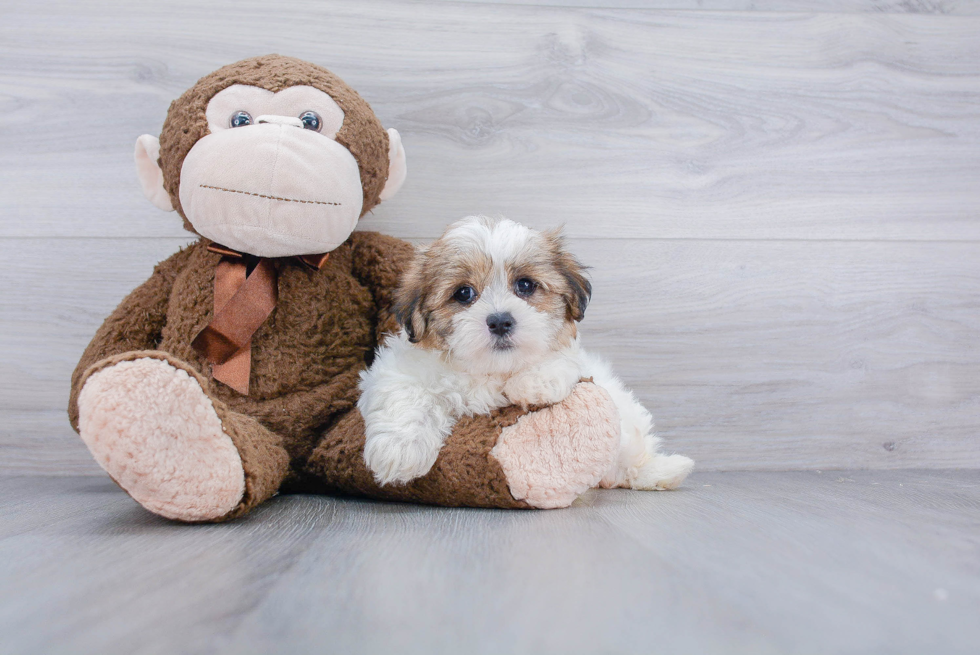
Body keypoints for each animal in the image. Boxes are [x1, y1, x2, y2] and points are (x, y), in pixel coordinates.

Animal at [362, 217, 696, 492]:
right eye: (463, 293)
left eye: (525, 285)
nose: (500, 321)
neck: (491, 370)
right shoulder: (398, 368)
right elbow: (405, 394)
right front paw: (399, 449)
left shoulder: (573, 357)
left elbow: (560, 360)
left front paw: (535, 382)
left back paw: (660, 472)